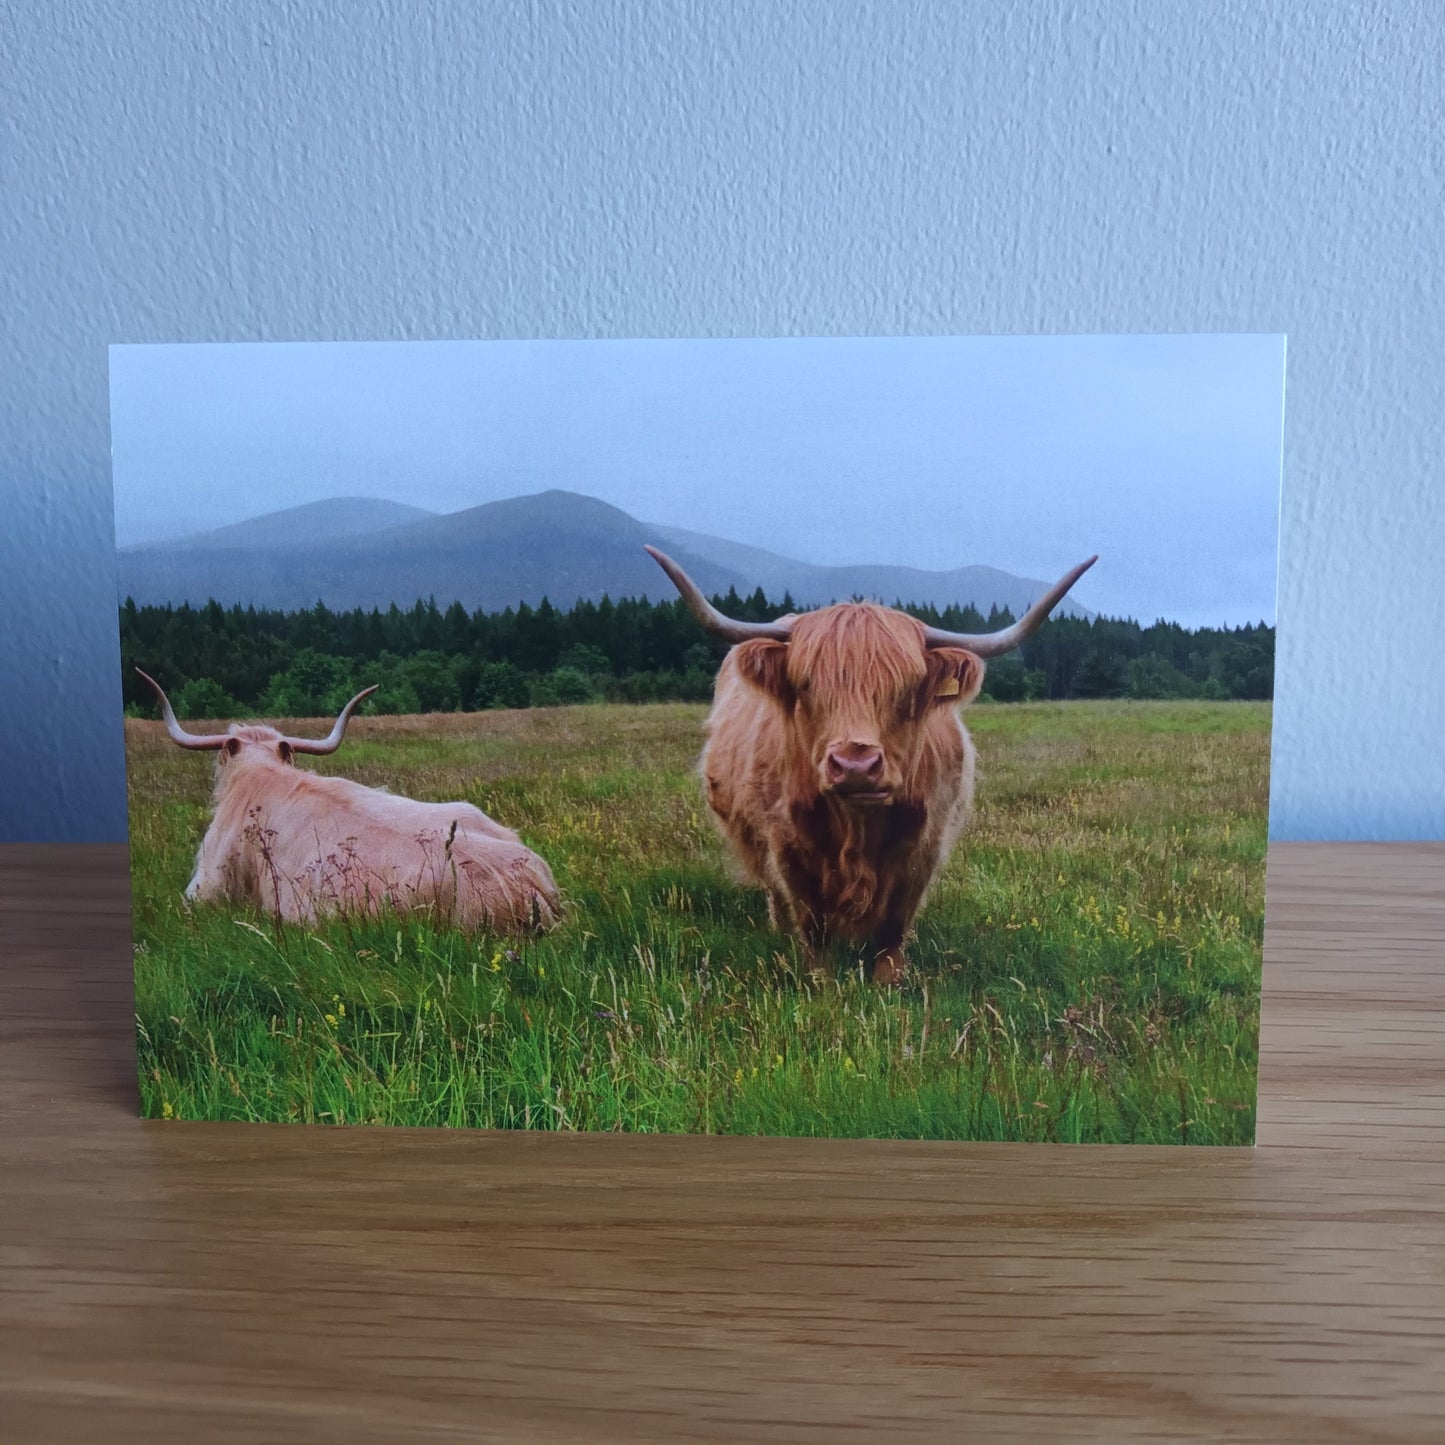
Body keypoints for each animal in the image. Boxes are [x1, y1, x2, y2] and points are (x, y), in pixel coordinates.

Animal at [645, 547, 1095, 984]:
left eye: (907, 687)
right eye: (806, 684)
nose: (855, 764)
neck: (857, 827)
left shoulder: (923, 847)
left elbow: (894, 924)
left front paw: (887, 983)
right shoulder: (788, 846)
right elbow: (812, 923)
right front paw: (822, 982)